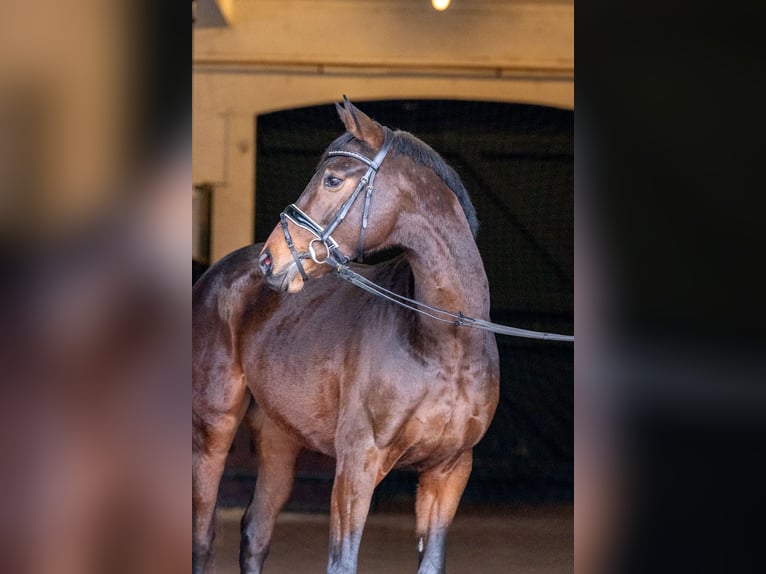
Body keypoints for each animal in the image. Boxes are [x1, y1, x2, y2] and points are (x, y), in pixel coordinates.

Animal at [195, 97, 500, 572]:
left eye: (333, 179)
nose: (271, 259)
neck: (445, 343)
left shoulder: (448, 472)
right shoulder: (357, 465)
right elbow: (343, 561)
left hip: (279, 439)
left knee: (256, 531)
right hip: (213, 427)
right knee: (203, 535)